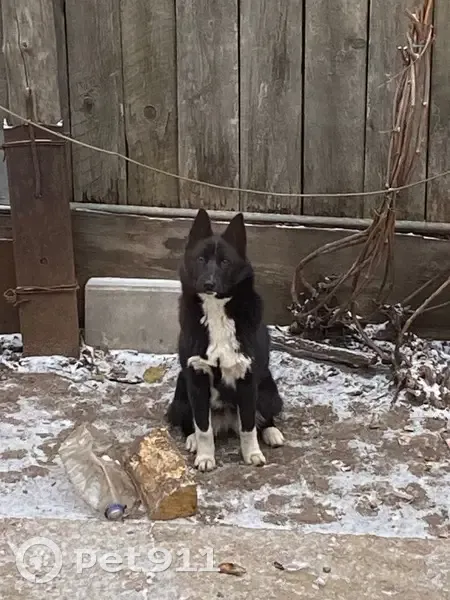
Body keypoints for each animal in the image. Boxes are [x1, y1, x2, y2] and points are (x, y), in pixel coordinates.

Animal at [166, 208, 284, 471]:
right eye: (201, 259)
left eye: (225, 262)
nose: (208, 283)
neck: (217, 312)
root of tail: (227, 421)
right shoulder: (196, 378)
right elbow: (203, 428)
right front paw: (205, 457)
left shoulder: (248, 379)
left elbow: (249, 426)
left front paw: (252, 454)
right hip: (181, 391)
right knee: (191, 422)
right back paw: (191, 439)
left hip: (269, 389)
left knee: (262, 418)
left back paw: (272, 432)